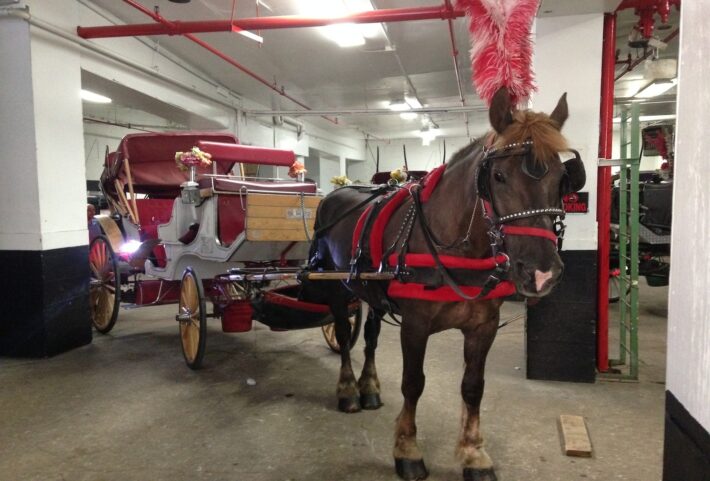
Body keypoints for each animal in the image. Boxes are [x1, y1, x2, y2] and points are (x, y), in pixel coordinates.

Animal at [304, 88, 588, 480]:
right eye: (498, 176)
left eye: (563, 177)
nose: (542, 272)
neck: (457, 246)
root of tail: (334, 194)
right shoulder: (415, 324)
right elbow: (413, 383)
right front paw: (407, 450)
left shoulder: (483, 326)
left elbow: (473, 387)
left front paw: (474, 454)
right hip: (335, 286)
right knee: (345, 336)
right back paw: (347, 390)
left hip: (373, 291)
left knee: (372, 338)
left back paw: (369, 387)